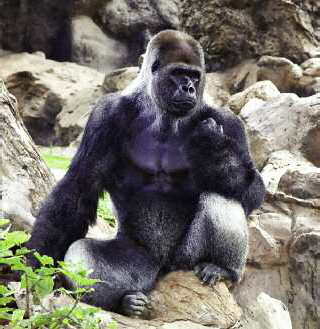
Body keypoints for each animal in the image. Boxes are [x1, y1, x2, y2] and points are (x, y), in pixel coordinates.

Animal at [28, 30, 264, 316]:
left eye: (195, 76)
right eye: (178, 74)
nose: (189, 88)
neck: (162, 113)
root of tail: (161, 270)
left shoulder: (228, 122)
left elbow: (253, 189)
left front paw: (213, 148)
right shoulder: (106, 115)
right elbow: (78, 188)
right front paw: (35, 265)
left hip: (183, 263)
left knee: (223, 194)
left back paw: (223, 269)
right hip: (143, 264)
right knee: (83, 251)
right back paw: (125, 303)